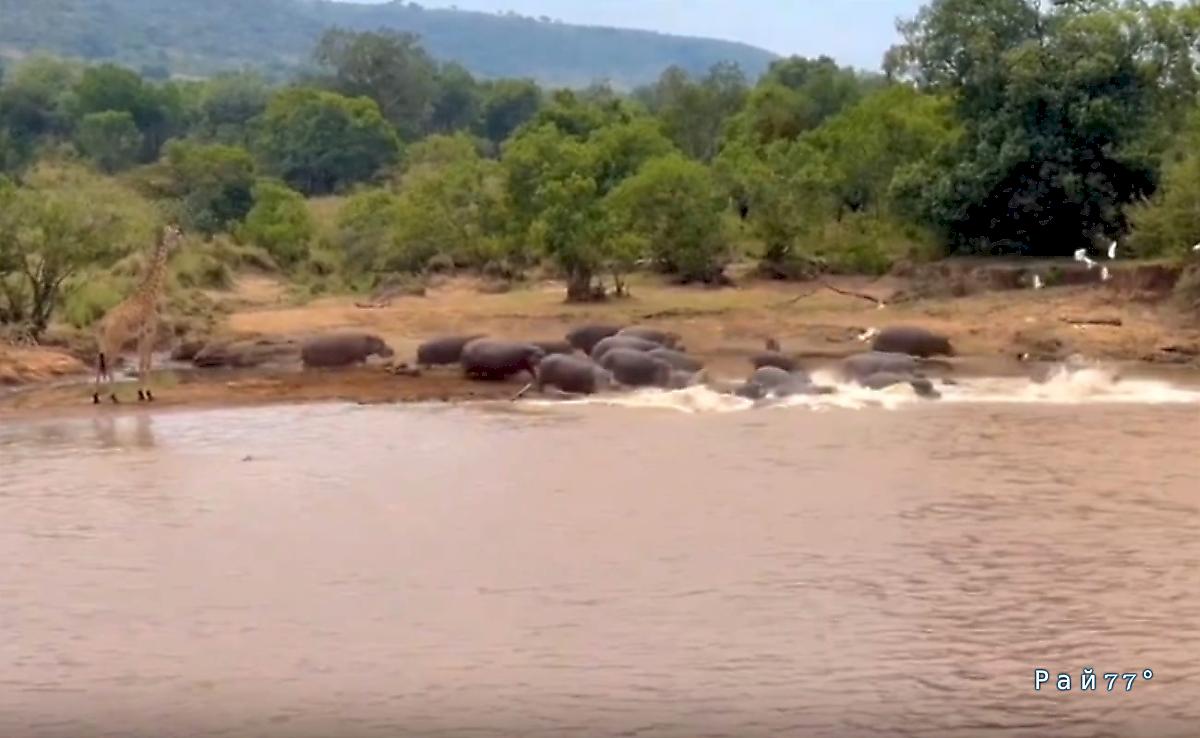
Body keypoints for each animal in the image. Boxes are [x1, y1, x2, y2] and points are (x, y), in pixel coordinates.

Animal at [92, 225, 181, 408]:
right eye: (175, 233)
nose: (181, 240)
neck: (150, 295)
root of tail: (102, 325)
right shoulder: (150, 332)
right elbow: (147, 362)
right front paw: (148, 393)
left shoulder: (140, 335)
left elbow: (141, 362)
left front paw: (140, 393)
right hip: (115, 341)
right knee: (109, 363)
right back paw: (114, 396)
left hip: (102, 343)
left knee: (98, 362)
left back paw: (96, 396)